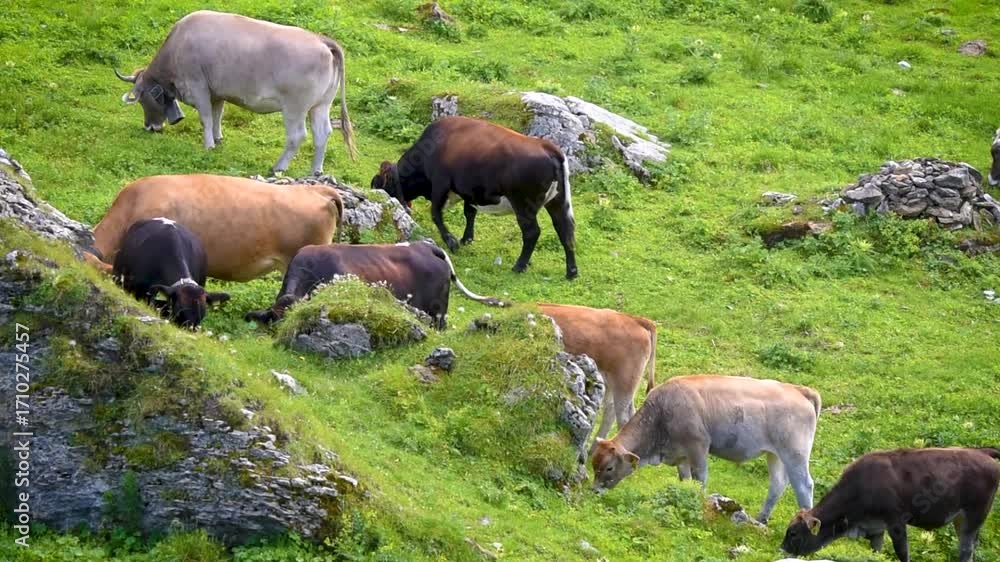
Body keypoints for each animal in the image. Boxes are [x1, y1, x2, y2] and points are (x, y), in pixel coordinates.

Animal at [114, 10, 357, 175]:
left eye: (143, 100)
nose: (149, 127)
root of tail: (322, 39)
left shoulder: (198, 86)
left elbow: (205, 118)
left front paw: (208, 145)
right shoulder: (217, 92)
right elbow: (217, 115)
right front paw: (218, 139)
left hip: (294, 108)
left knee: (297, 136)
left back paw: (277, 167)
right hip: (320, 105)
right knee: (322, 133)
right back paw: (315, 171)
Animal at [370, 116, 578, 279]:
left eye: (379, 186)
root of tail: (547, 147)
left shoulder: (440, 183)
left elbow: (436, 213)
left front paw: (452, 242)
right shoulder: (469, 191)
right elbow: (469, 212)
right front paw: (466, 239)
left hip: (523, 205)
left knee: (532, 232)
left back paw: (519, 266)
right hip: (558, 202)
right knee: (565, 229)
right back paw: (572, 272)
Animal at [591, 375, 821, 524]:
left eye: (609, 467)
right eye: (594, 463)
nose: (594, 490)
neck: (662, 412)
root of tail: (799, 390)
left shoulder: (698, 448)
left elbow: (700, 479)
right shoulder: (681, 456)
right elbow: (686, 481)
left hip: (794, 454)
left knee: (804, 485)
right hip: (775, 455)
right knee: (778, 484)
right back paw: (761, 519)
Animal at [782, 447, 1000, 562]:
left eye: (793, 533)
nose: (782, 548)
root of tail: (983, 453)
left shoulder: (896, 524)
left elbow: (902, 552)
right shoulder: (875, 530)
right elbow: (876, 551)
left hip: (974, 516)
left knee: (966, 549)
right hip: (962, 519)